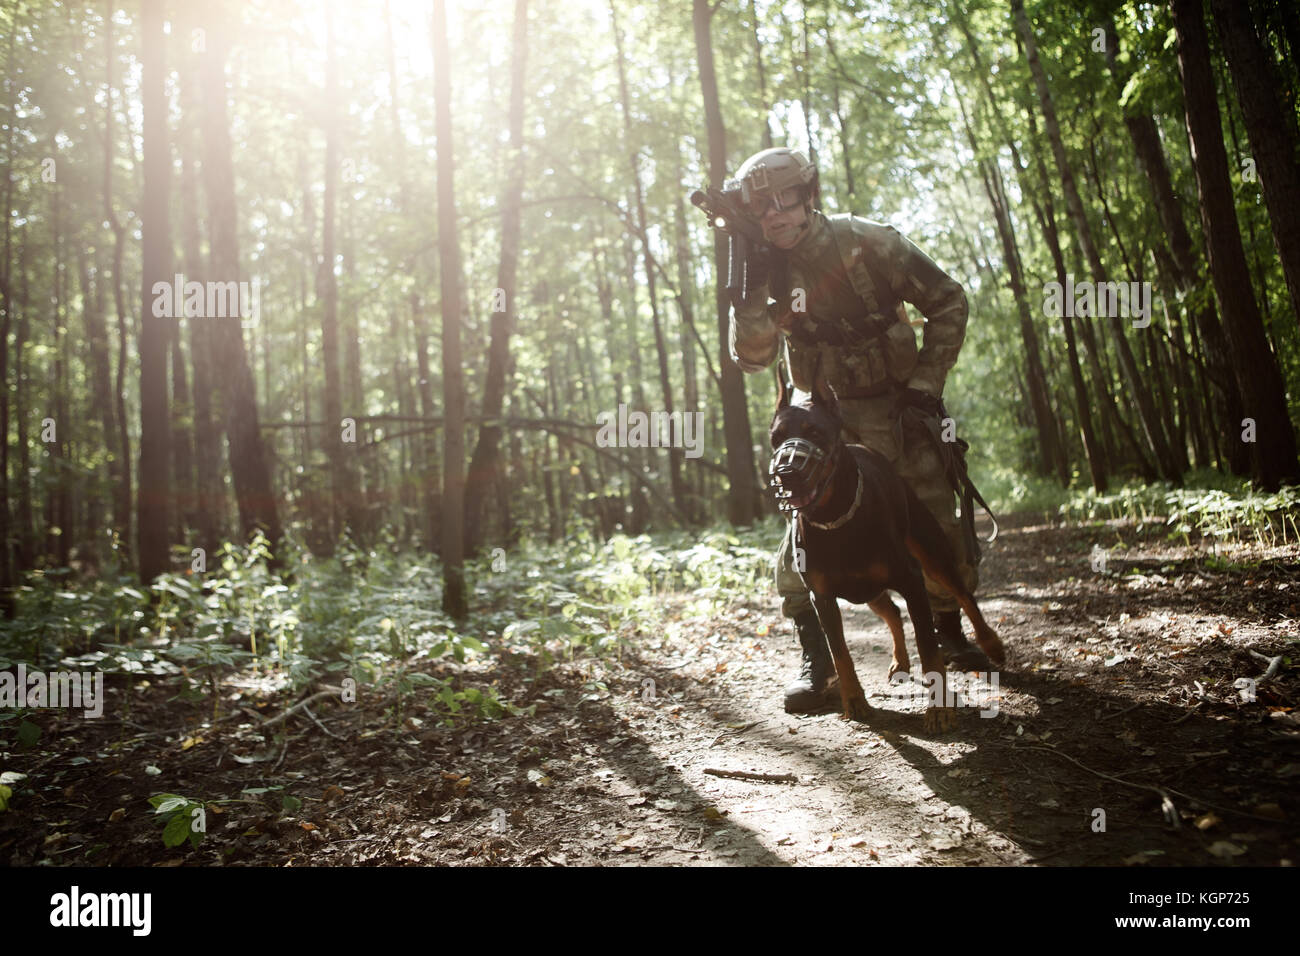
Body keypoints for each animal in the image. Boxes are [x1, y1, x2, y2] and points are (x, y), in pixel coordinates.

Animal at [769, 366, 1003, 733]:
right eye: (775, 438)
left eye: (816, 433)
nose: (786, 472)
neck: (835, 517)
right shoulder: (822, 596)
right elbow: (840, 652)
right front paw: (854, 701)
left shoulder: (912, 580)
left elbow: (929, 647)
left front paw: (939, 710)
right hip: (863, 588)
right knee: (891, 610)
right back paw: (900, 661)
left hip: (931, 551)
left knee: (963, 595)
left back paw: (989, 644)